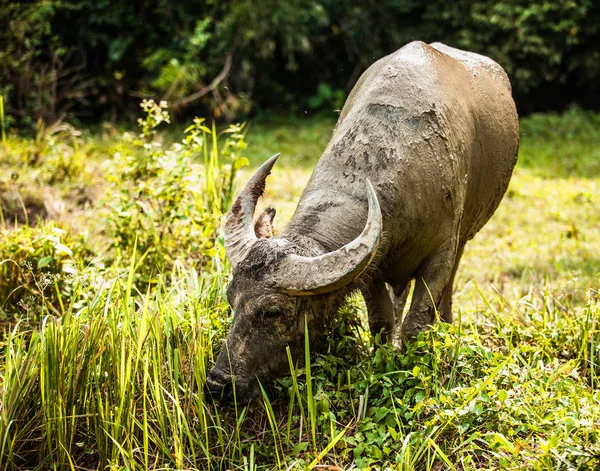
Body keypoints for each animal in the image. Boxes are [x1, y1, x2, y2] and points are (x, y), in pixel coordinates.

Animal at [204, 40, 516, 404]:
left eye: (273, 311)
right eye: (230, 298)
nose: (217, 385)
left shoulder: (442, 251)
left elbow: (418, 321)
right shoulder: (373, 266)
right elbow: (381, 320)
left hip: (465, 237)